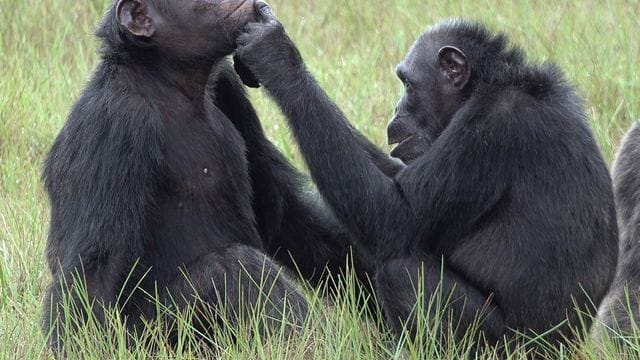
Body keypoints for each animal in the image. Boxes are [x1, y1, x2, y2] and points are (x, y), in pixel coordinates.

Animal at [41, 0, 380, 350]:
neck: (170, 79)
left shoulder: (230, 88)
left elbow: (283, 213)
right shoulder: (115, 122)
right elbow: (95, 268)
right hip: (156, 339)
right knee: (232, 268)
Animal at [235, 2, 620, 346]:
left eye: (407, 83)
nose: (396, 110)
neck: (486, 86)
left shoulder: (491, 129)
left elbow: (395, 216)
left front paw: (276, 56)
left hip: (505, 348)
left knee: (401, 272)